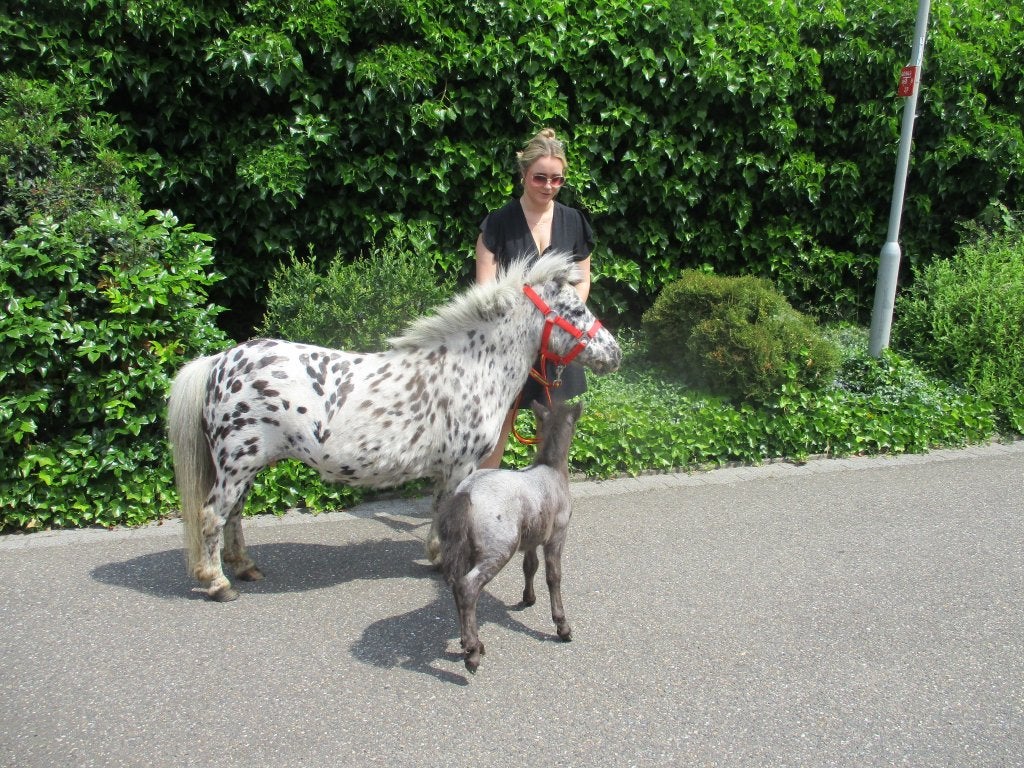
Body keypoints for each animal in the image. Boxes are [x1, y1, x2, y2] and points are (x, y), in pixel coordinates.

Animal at [167, 252, 621, 601]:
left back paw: (245, 567)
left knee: (234, 516)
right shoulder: (460, 466)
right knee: (213, 516)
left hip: (248, 467)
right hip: (236, 466)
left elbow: (439, 510)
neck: (472, 367)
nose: (614, 354)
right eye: (576, 310)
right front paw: (443, 560)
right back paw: (218, 583)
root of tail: (219, 363)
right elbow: (446, 513)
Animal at [437, 399, 582, 673]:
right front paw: (563, 626)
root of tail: (467, 493)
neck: (550, 470)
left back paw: (471, 643)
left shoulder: (532, 538)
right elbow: (553, 577)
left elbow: (530, 566)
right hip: (499, 548)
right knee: (467, 587)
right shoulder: (557, 535)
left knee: (456, 586)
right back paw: (472, 653)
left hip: (466, 550)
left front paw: (528, 598)